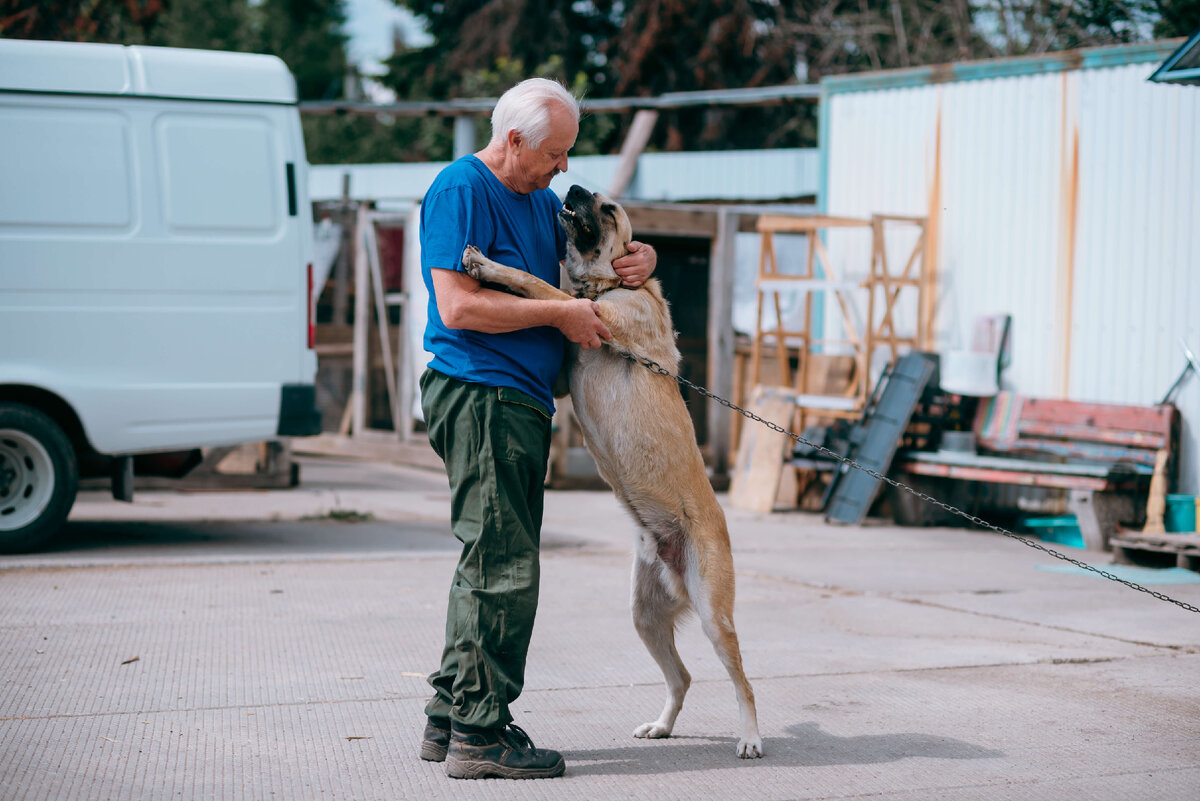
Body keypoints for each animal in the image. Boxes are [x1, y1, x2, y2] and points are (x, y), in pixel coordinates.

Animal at [463, 184, 763, 762]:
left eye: (608, 209)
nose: (574, 187)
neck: (609, 285)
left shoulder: (586, 313)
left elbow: (535, 285)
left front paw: (488, 265)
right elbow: (546, 296)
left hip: (715, 619)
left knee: (744, 682)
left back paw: (750, 737)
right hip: (643, 615)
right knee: (682, 677)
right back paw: (662, 726)